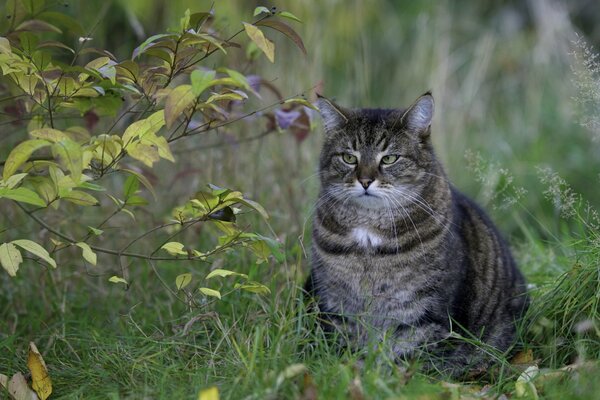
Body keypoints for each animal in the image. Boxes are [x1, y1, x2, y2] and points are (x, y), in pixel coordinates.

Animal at [308, 91, 528, 378]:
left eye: (389, 158)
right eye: (349, 158)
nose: (365, 180)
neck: (368, 233)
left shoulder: (424, 314)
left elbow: (410, 359)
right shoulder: (337, 305)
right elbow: (346, 349)